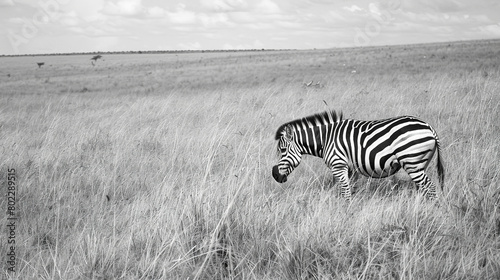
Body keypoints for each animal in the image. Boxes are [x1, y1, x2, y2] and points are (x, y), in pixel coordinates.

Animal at [274, 110, 446, 200]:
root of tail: (429, 128)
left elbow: (345, 192)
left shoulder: (338, 165)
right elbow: (349, 190)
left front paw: (345, 213)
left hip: (412, 163)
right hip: (420, 164)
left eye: (282, 150)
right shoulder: (350, 168)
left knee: (430, 188)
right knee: (423, 188)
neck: (325, 139)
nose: (275, 176)